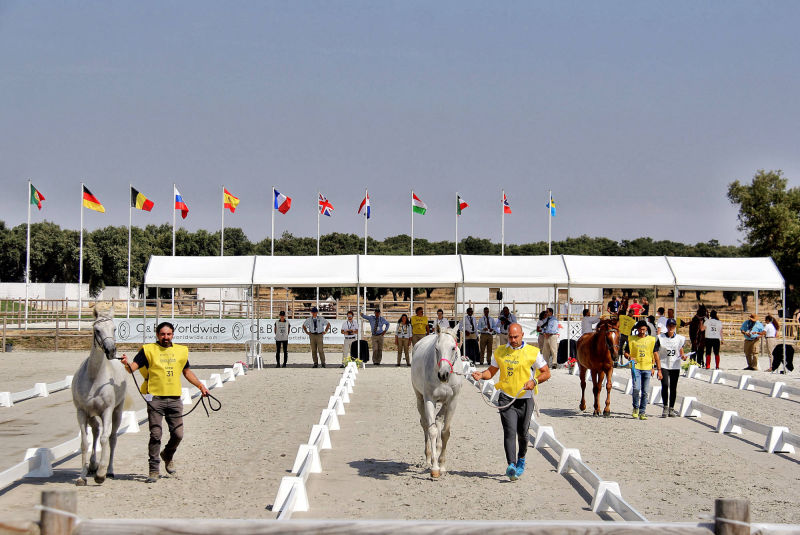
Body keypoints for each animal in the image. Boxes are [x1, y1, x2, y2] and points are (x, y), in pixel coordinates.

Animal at [71, 306, 128, 485]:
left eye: (114, 329)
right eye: (97, 330)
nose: (111, 351)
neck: (94, 377)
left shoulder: (107, 411)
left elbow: (105, 438)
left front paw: (101, 474)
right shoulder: (81, 412)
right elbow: (84, 442)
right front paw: (82, 476)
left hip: (117, 411)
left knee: (112, 437)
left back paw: (108, 470)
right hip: (91, 414)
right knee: (95, 430)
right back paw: (92, 465)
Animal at [411, 330, 468, 479]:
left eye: (453, 348)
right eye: (436, 349)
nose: (443, 374)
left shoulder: (452, 401)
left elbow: (445, 432)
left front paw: (442, 466)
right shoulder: (429, 400)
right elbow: (432, 431)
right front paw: (435, 468)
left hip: (444, 404)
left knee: (438, 420)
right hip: (420, 399)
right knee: (426, 424)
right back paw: (428, 459)